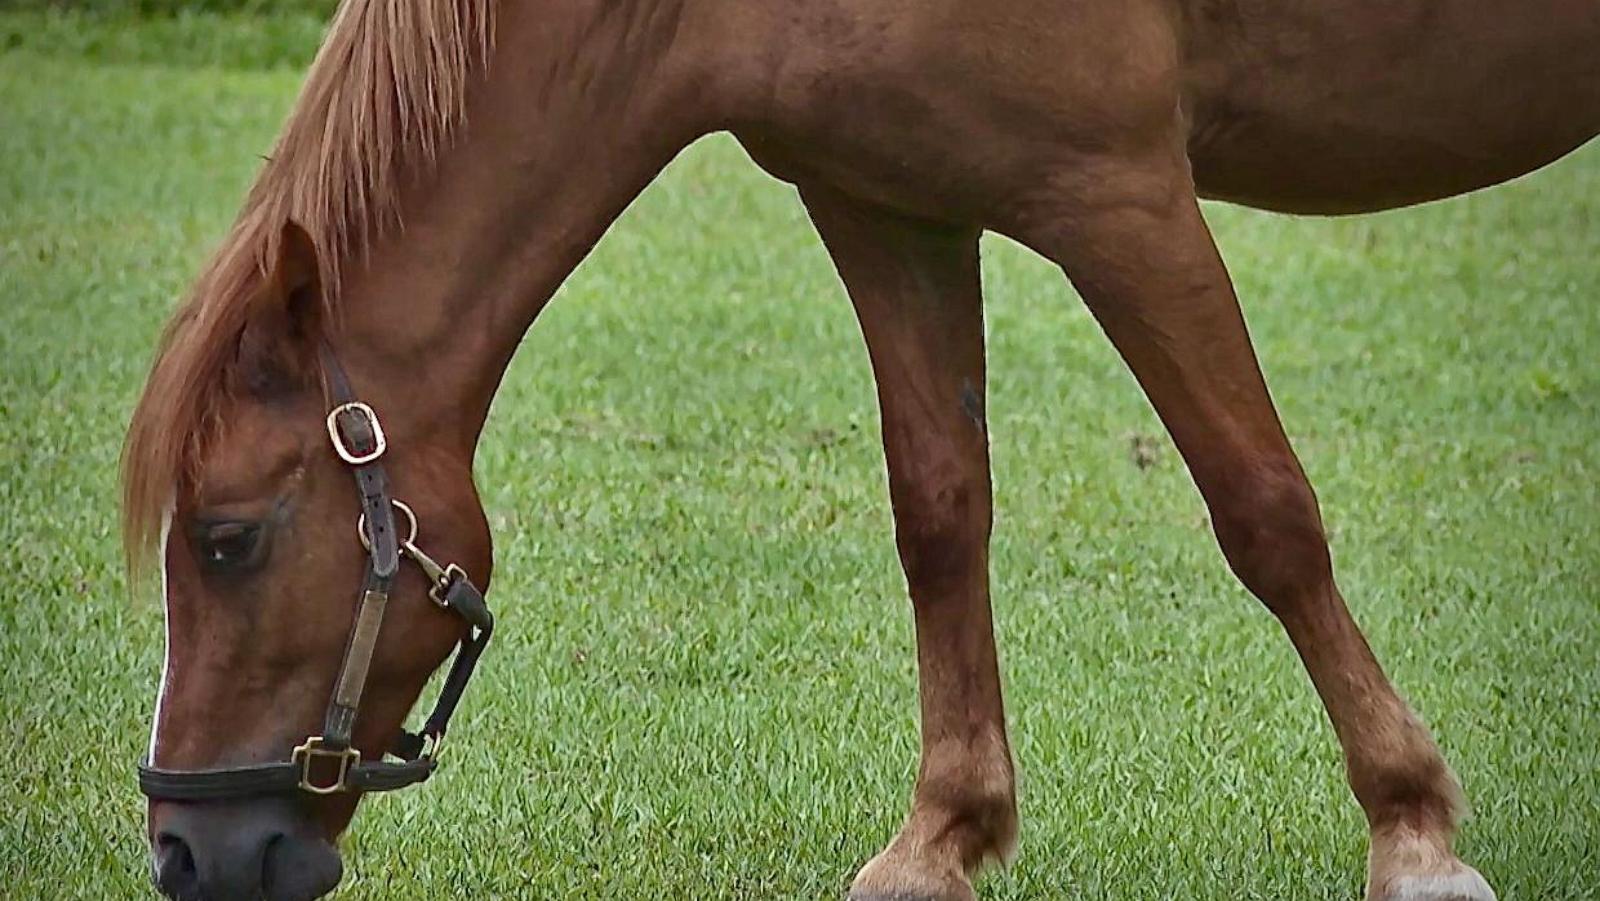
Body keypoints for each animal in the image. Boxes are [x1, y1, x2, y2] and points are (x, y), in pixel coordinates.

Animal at [122, 0, 1599, 899]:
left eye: (228, 539)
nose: (188, 848)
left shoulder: (1120, 196)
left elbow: (1264, 512)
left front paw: (1410, 827)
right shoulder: (887, 204)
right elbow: (938, 510)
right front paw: (946, 833)